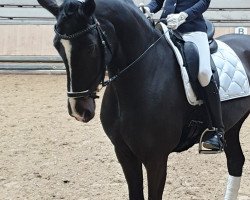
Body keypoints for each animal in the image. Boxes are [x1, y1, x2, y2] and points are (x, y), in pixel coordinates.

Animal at [37, 0, 250, 199]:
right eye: (57, 45)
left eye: (90, 46)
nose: (78, 110)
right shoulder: (124, 153)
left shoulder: (156, 159)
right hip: (232, 126)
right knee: (235, 161)